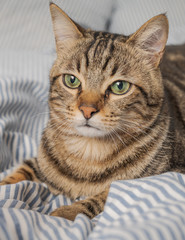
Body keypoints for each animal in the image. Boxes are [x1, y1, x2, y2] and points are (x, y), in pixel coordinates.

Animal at [0, 3, 185, 221]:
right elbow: (18, 172)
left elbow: (106, 195)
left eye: (120, 86)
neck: (87, 153)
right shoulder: (37, 161)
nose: (87, 110)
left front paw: (65, 212)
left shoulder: (167, 175)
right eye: (71, 80)